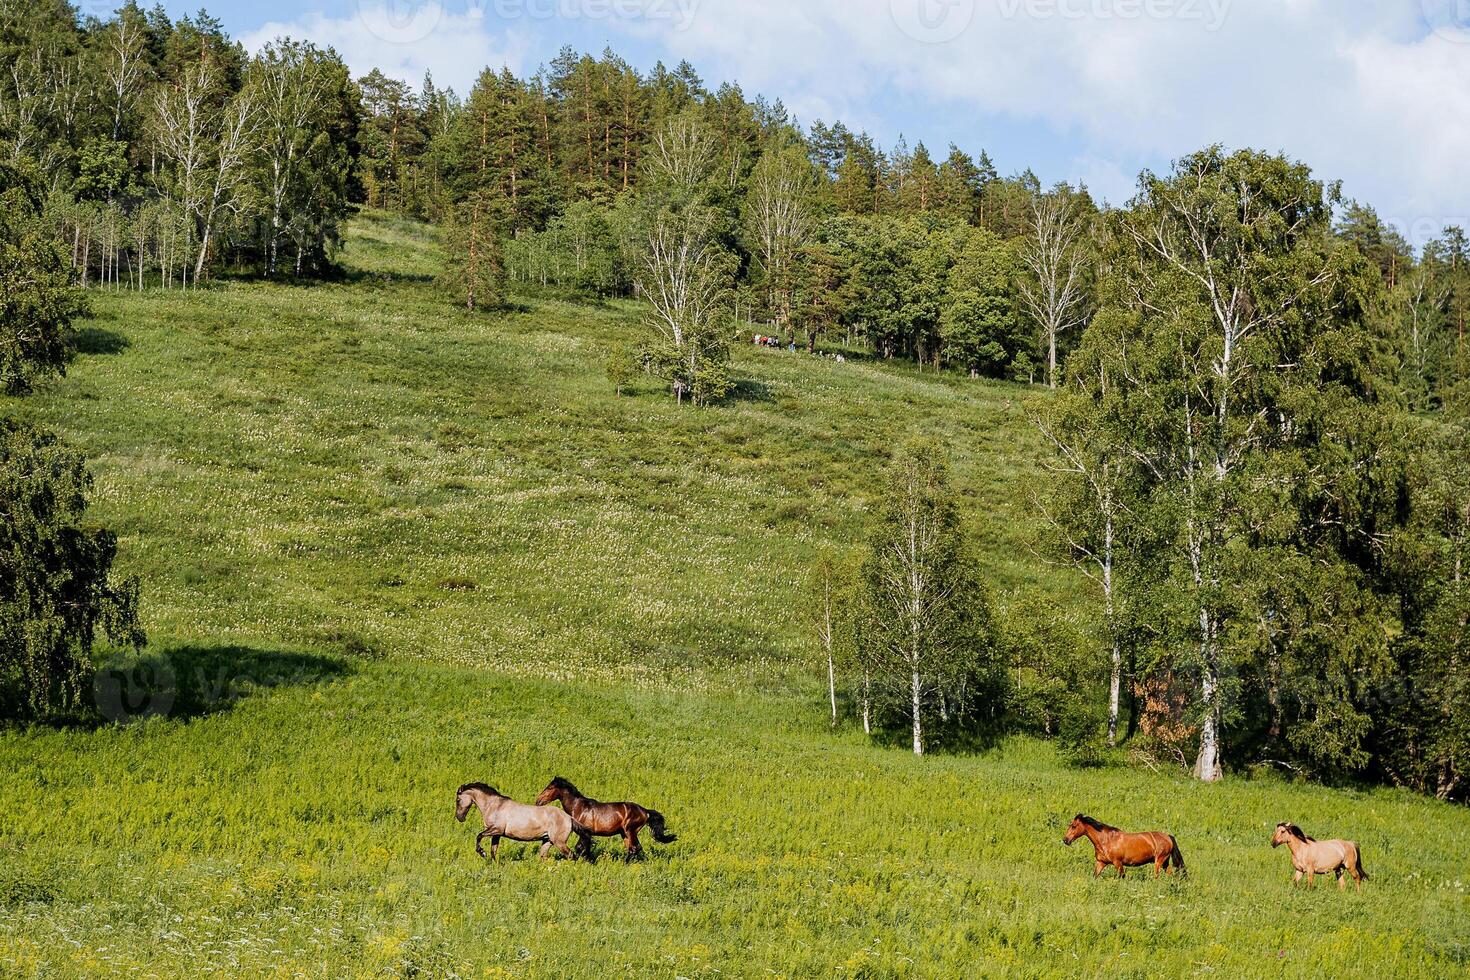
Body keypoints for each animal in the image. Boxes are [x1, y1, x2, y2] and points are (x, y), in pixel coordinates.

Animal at [452, 787, 590, 863]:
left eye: (458, 800)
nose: (460, 818)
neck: (495, 806)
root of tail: (569, 818)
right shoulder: (497, 834)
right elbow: (493, 850)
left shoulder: (496, 829)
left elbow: (479, 836)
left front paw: (482, 853)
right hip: (547, 841)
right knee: (544, 858)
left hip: (559, 842)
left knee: (572, 856)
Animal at [540, 775, 676, 858]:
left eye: (550, 788)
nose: (538, 801)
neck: (578, 807)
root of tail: (645, 811)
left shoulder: (585, 833)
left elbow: (581, 847)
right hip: (624, 833)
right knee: (633, 848)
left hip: (630, 830)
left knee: (634, 848)